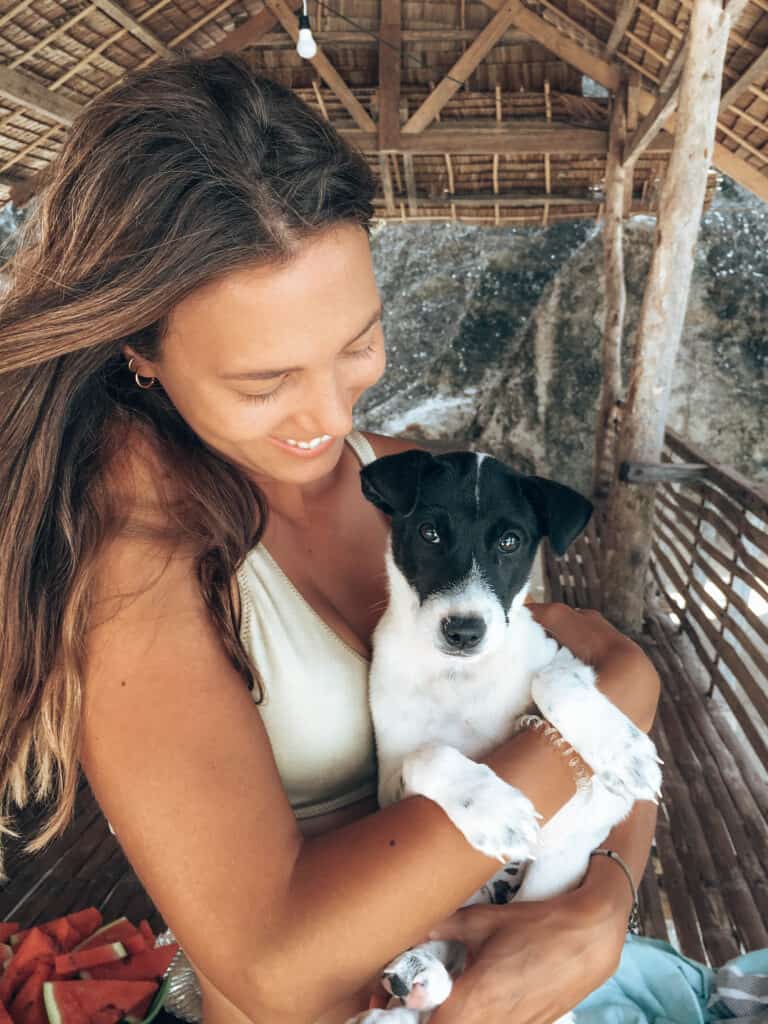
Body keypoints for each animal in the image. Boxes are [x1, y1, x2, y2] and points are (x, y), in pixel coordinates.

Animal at [348, 450, 663, 1024]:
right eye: (429, 532)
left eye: (511, 541)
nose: (464, 631)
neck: (460, 676)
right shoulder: (388, 784)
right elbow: (426, 754)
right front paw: (493, 807)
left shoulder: (563, 659)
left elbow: (553, 679)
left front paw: (622, 750)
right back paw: (415, 980)